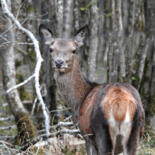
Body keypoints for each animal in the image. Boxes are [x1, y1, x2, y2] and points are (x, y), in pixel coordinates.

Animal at [39, 24, 145, 154]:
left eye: (74, 50)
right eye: (51, 49)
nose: (59, 62)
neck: (78, 101)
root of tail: (120, 105)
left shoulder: (86, 135)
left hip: (101, 133)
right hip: (136, 131)